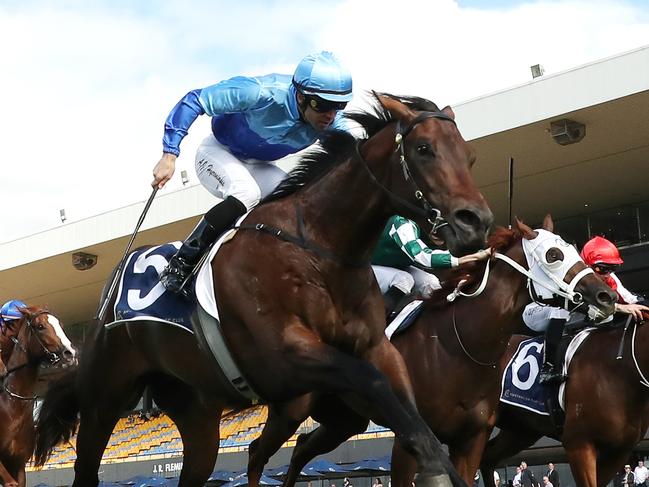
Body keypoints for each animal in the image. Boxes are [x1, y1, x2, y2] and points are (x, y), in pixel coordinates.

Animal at [34, 93, 492, 487]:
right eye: (424, 149)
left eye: (469, 156)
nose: (476, 222)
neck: (318, 248)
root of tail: (106, 299)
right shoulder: (285, 356)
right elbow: (375, 384)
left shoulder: (377, 347)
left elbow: (410, 413)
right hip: (104, 399)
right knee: (87, 469)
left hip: (197, 412)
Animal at [240, 219, 616, 487]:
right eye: (553, 256)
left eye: (574, 250)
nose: (606, 296)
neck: (458, 347)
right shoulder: (410, 440)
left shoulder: (470, 439)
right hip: (292, 408)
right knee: (257, 452)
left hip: (344, 420)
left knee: (301, 449)